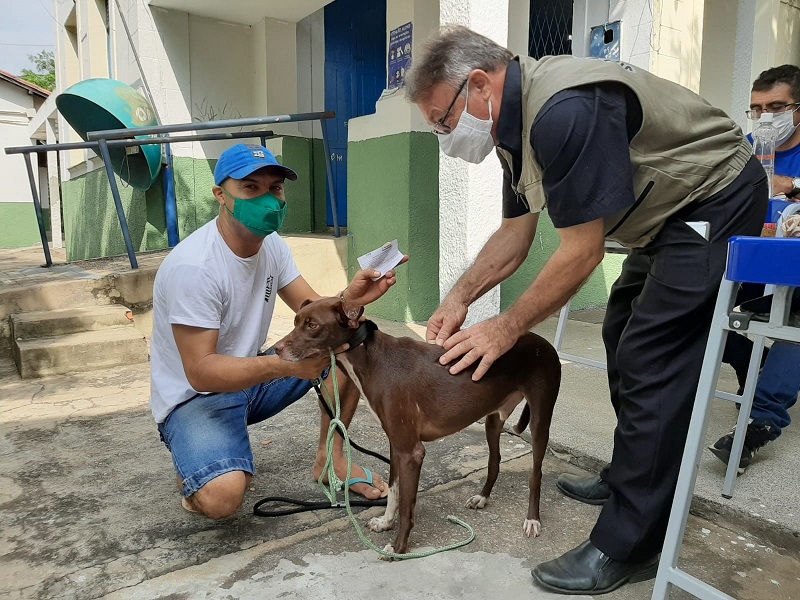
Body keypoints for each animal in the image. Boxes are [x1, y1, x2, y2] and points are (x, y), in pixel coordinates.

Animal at [276, 298, 564, 556]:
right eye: (296, 321)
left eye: (312, 325)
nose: (276, 350)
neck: (371, 359)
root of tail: (544, 343)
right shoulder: (396, 445)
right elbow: (394, 492)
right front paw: (385, 523)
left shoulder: (411, 452)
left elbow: (407, 506)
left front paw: (399, 548)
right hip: (493, 420)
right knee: (494, 461)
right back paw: (482, 497)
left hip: (540, 419)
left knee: (536, 474)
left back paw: (532, 519)